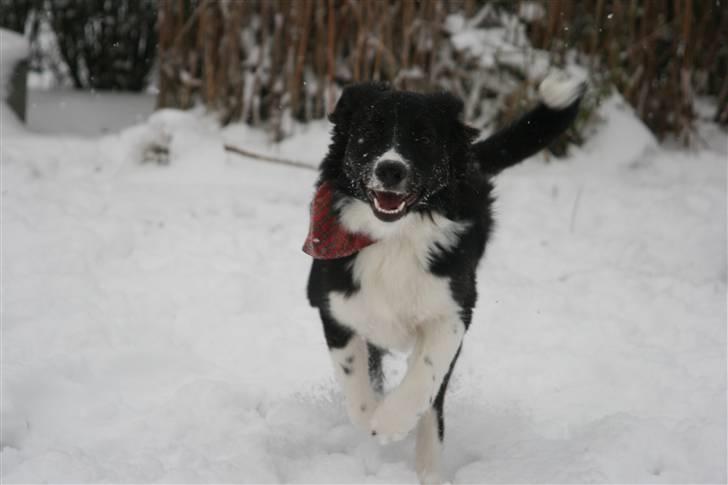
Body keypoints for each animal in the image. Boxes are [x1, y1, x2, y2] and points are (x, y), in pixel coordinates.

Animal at [304, 73, 584, 484]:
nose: (391, 169)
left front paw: (391, 422)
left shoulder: (454, 310)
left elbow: (425, 376)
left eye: (423, 138)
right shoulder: (334, 304)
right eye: (369, 132)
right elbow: (354, 377)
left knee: (432, 406)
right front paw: (371, 419)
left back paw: (427, 469)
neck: (395, 238)